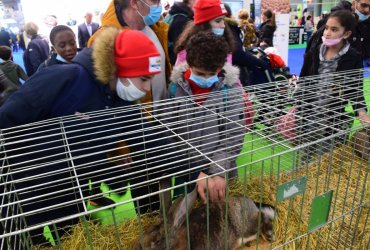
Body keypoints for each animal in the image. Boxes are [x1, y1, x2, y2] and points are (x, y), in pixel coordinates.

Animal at [133, 180, 274, 250]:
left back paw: (269, 235)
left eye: (157, 241)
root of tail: (252, 203)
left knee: (262, 218)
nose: (136, 248)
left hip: (246, 225)